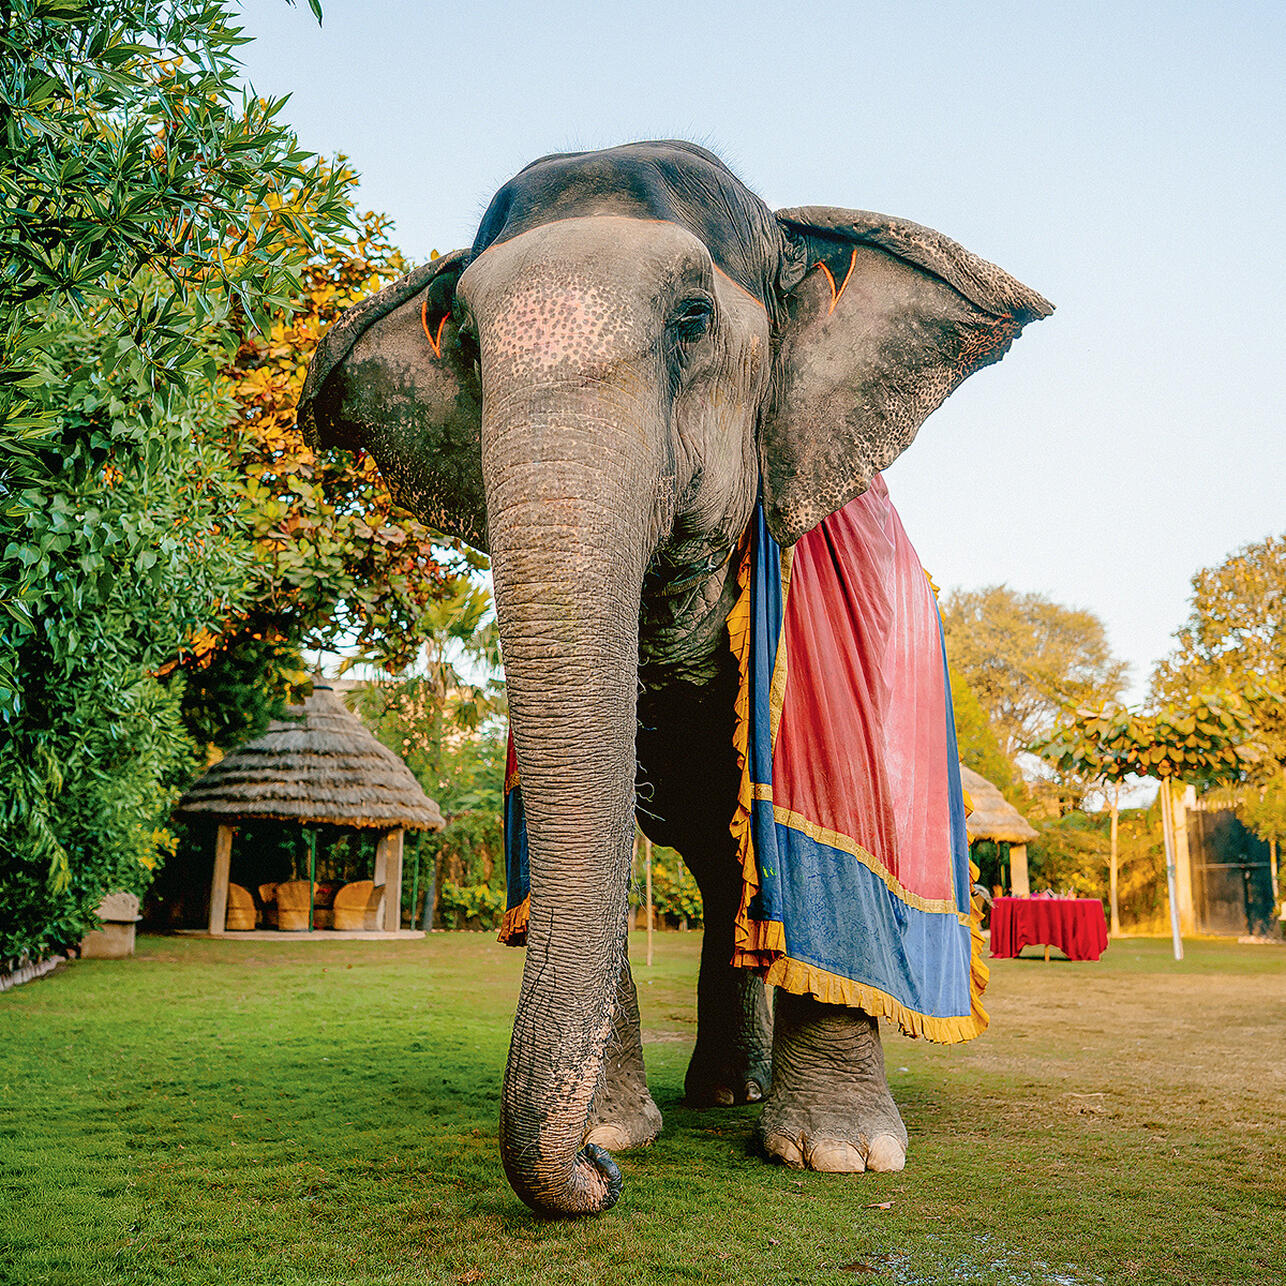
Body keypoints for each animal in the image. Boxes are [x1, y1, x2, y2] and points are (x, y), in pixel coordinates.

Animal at [297, 140, 1051, 1217]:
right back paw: (726, 1088)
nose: (596, 1177)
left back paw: (756, 1100)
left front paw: (840, 1156)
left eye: (691, 319)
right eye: (468, 346)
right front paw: (619, 1132)